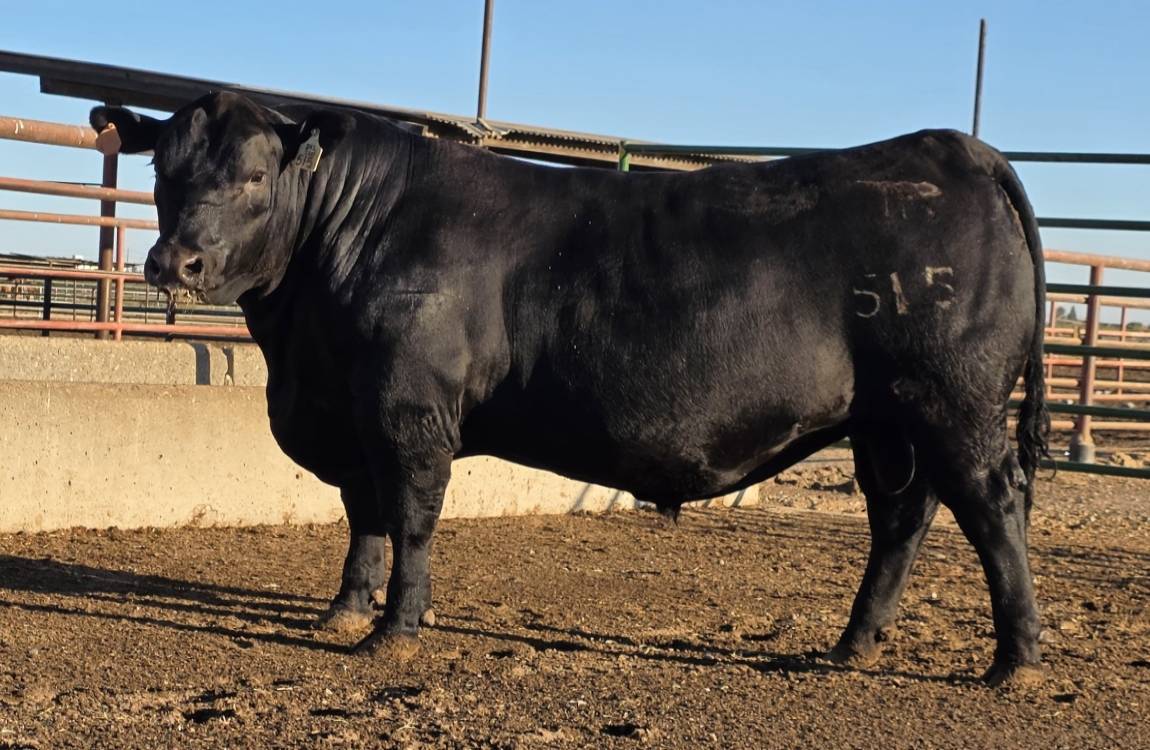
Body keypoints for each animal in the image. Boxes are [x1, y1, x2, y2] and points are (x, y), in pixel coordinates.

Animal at [91, 92, 1049, 685]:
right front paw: (340, 614)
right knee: (902, 518)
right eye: (162, 169)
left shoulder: (408, 411)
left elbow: (408, 519)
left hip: (954, 402)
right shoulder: (354, 415)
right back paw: (851, 647)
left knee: (993, 505)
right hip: (887, 422)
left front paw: (393, 633)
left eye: (255, 175)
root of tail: (951, 148)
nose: (176, 262)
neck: (300, 347)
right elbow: (362, 518)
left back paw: (1014, 660)